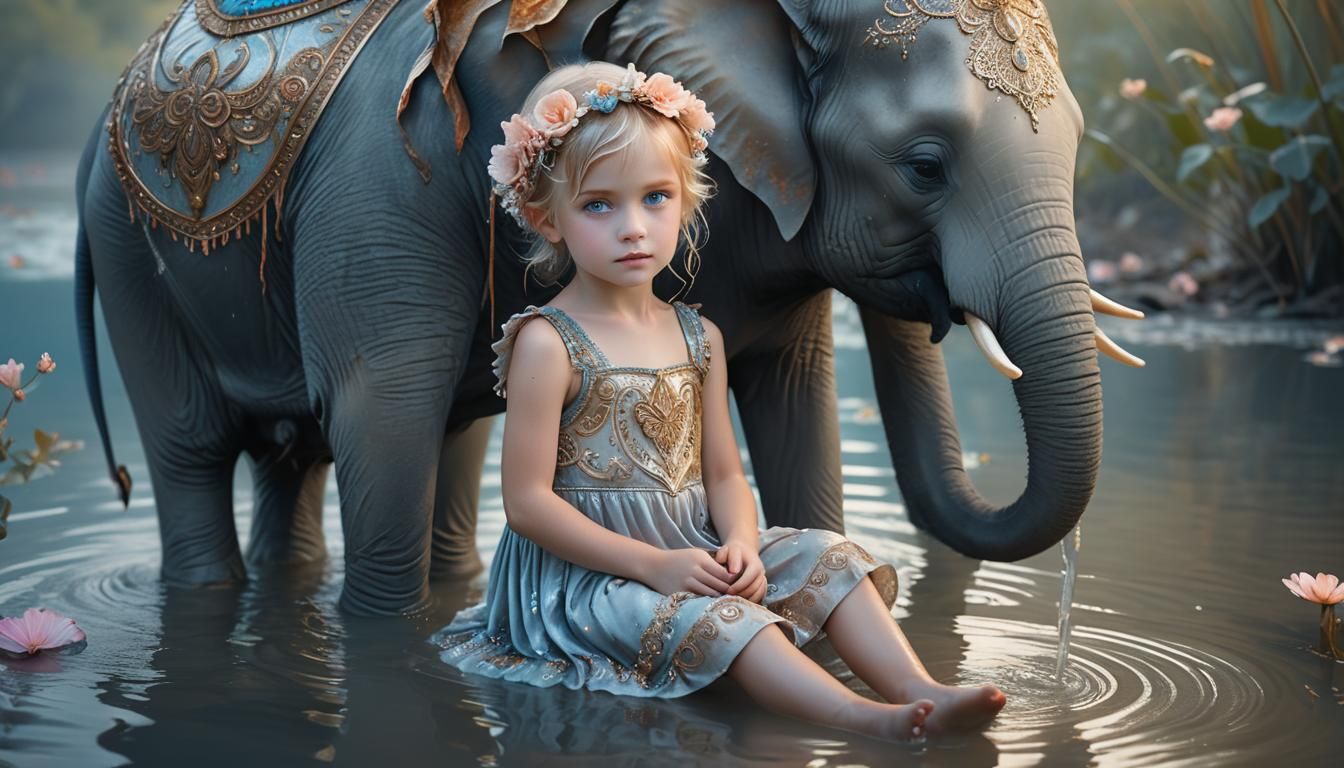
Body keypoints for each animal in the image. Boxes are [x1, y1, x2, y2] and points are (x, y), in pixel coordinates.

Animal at [76, 0, 1143, 615]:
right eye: (923, 164)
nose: (932, 301)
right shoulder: (383, 183)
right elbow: (383, 413)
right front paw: (382, 634)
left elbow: (793, 402)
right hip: (123, 242)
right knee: (196, 449)